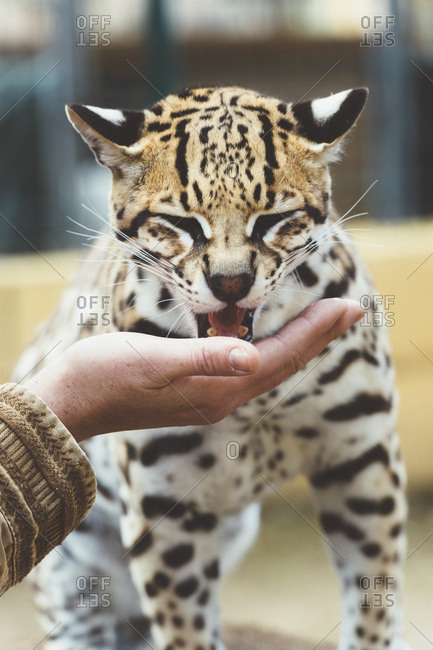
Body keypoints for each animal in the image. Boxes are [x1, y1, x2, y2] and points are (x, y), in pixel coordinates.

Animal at [13, 85, 411, 650]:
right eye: (181, 224)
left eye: (273, 220)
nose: (230, 283)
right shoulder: (164, 502)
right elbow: (186, 626)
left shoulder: (361, 457)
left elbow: (374, 597)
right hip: (73, 575)